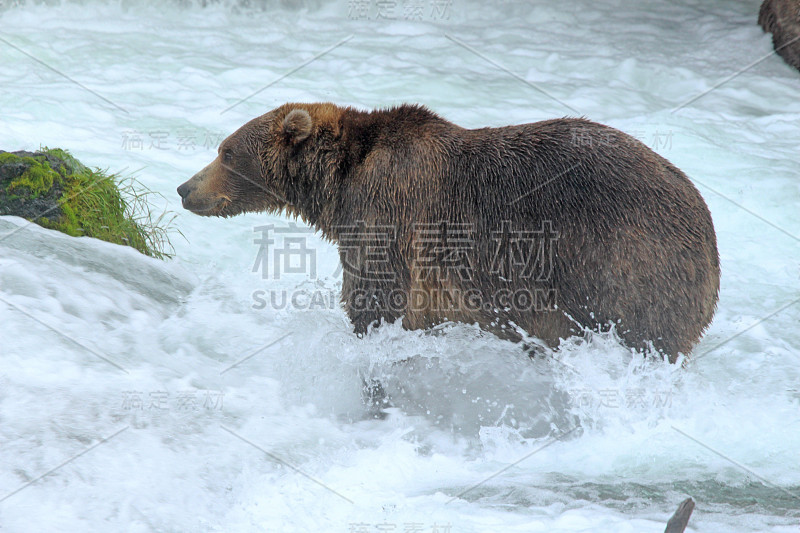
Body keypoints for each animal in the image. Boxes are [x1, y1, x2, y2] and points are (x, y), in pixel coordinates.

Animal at [178, 103, 720, 362]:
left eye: (226, 152)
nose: (184, 188)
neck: (340, 185)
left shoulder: (389, 219)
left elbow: (375, 302)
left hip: (626, 262)